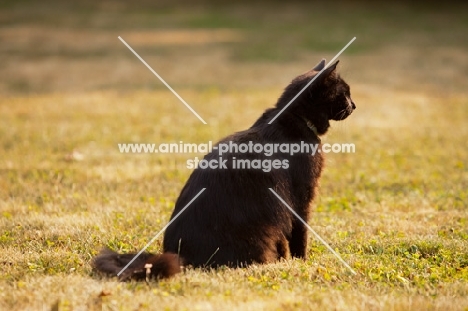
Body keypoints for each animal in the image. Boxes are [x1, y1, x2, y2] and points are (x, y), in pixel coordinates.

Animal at [92, 58, 354, 280]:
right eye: (344, 93)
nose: (354, 105)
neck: (293, 120)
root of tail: (182, 255)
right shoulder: (301, 197)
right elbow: (301, 234)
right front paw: (301, 262)